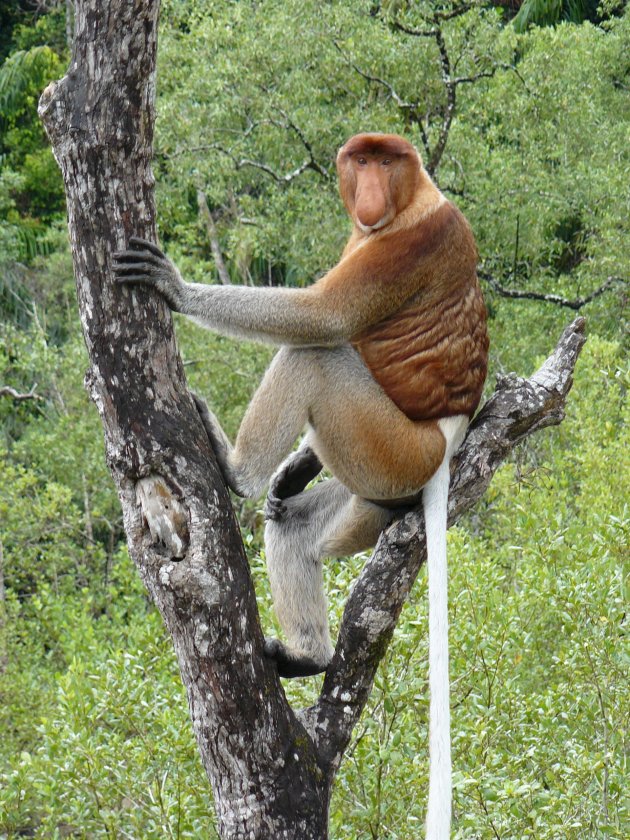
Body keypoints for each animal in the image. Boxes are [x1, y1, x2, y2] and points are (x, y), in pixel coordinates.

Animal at [113, 133, 488, 840]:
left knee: (317, 353)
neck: (410, 205)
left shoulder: (406, 246)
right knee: (293, 526)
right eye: (359, 161)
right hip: (376, 481)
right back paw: (308, 654)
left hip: (388, 444)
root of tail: (446, 440)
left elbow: (323, 316)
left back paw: (236, 471)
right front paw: (294, 470)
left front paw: (172, 285)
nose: (368, 190)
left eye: (385, 160)